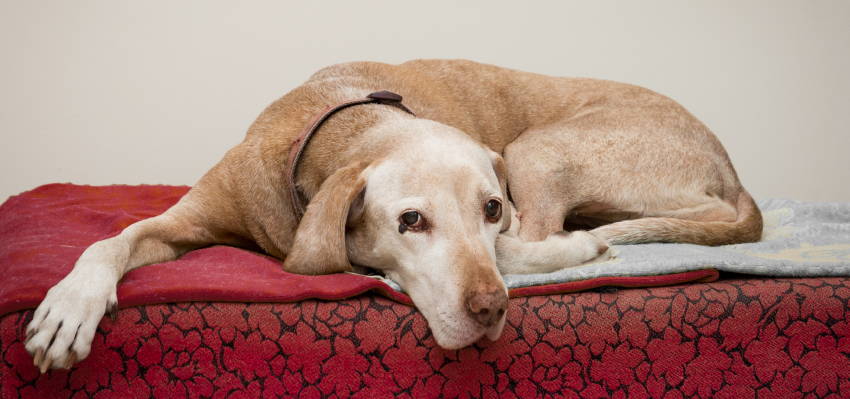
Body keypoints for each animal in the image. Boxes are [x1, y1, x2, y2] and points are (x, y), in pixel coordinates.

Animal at [24, 59, 760, 372]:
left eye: (489, 207)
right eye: (410, 222)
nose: (489, 309)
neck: (335, 129)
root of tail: (730, 167)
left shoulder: (505, 217)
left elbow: (511, 247)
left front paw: (573, 252)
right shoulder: (179, 221)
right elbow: (111, 241)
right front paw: (68, 307)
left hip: (537, 149)